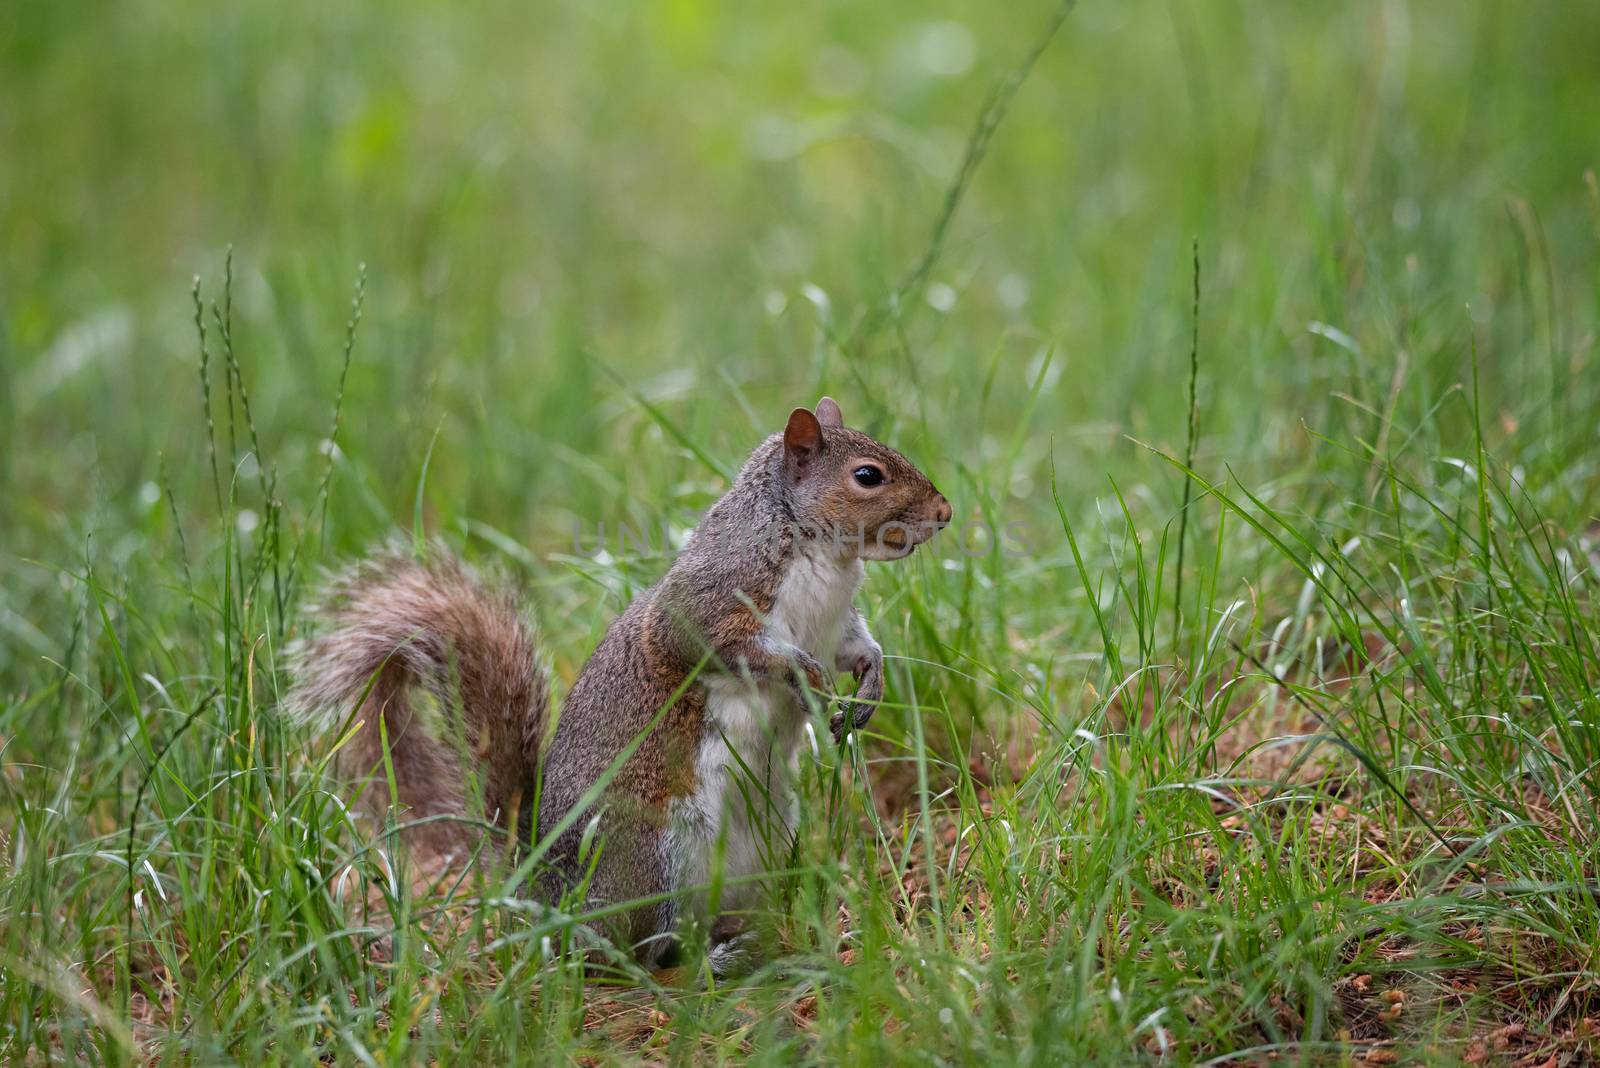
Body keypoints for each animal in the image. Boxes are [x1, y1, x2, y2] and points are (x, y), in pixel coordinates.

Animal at [288, 398, 947, 965]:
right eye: (867, 475)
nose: (944, 514)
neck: (822, 555)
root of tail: (543, 888)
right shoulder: (709, 606)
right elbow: (720, 648)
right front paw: (804, 676)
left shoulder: (835, 624)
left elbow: (859, 650)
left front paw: (866, 691)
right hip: (655, 855)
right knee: (637, 951)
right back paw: (709, 960)